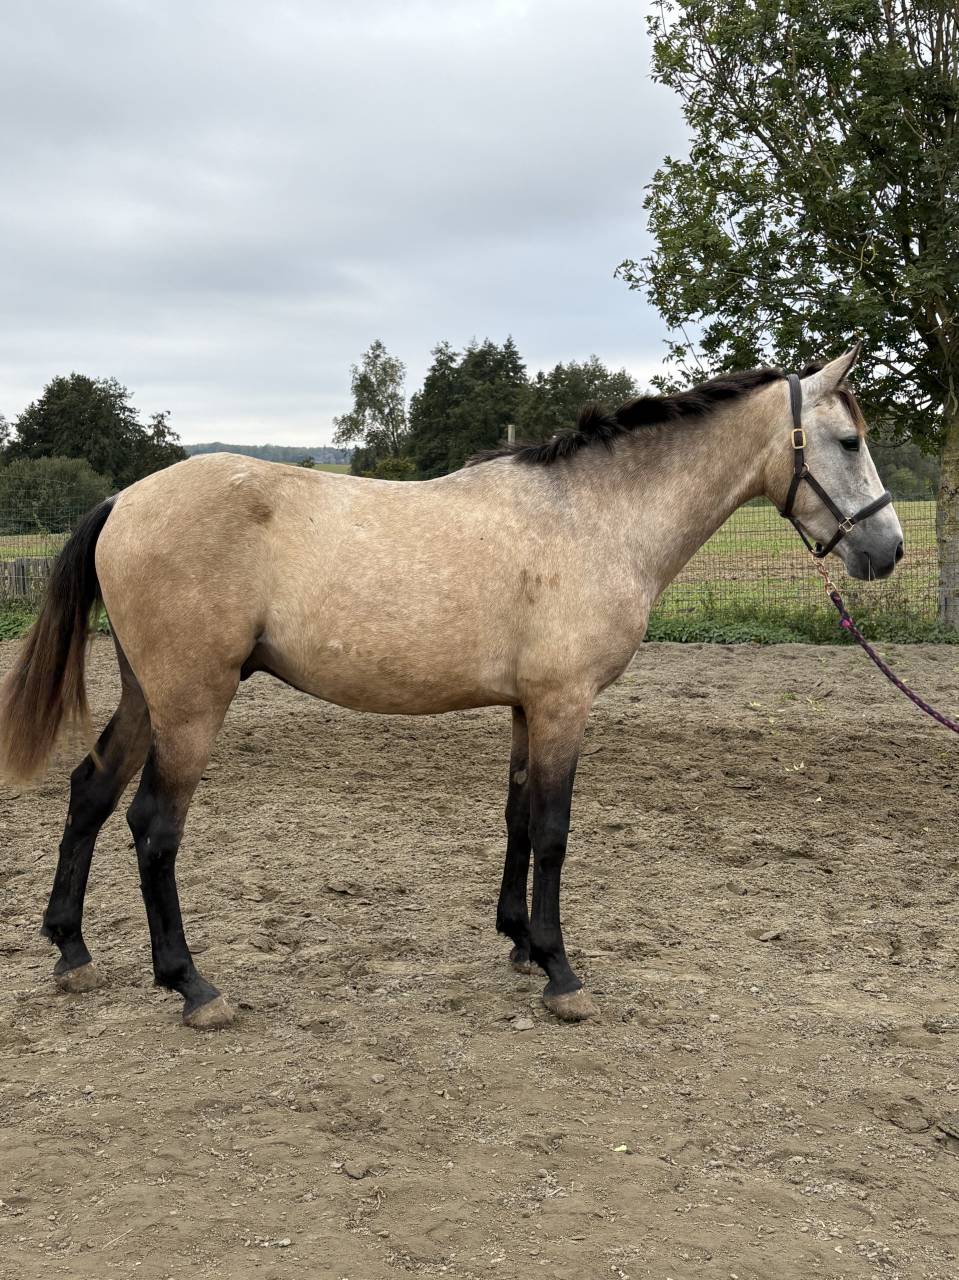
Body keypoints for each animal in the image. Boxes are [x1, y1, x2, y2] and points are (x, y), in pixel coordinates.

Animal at [0, 347, 904, 1030]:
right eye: (846, 441)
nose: (887, 549)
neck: (592, 516)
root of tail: (124, 499)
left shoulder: (527, 708)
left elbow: (516, 818)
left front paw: (518, 941)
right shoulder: (564, 704)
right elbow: (553, 831)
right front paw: (561, 973)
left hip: (147, 696)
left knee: (89, 795)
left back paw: (72, 951)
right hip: (192, 704)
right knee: (153, 827)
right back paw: (192, 986)